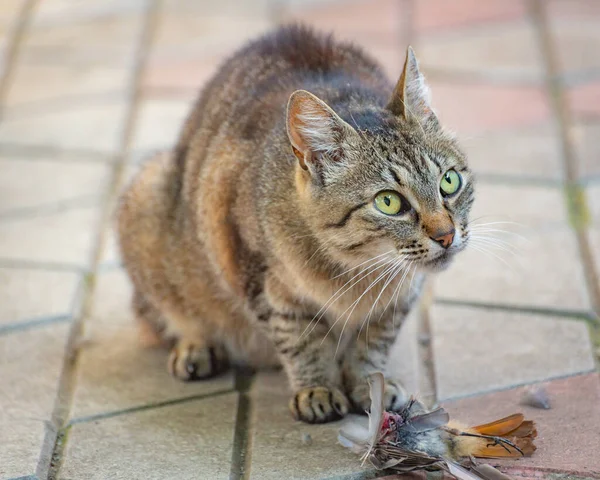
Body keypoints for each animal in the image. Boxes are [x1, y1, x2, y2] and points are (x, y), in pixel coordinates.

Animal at [117, 25, 474, 424]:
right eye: (389, 202)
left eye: (449, 182)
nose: (446, 235)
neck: (358, 271)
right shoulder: (258, 278)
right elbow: (301, 339)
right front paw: (316, 387)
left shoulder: (400, 299)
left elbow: (373, 342)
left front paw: (370, 385)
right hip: (149, 198)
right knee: (168, 312)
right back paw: (196, 346)